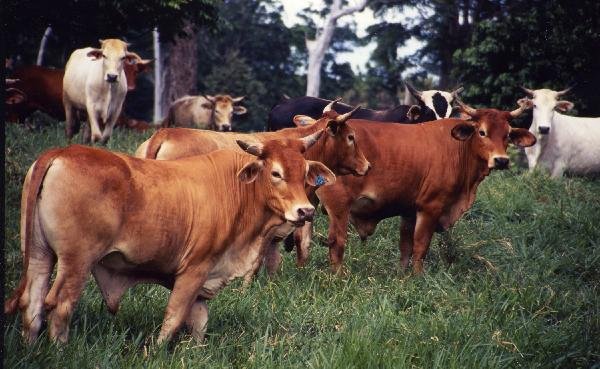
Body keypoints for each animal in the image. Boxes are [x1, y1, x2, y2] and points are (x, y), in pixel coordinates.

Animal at [4, 134, 336, 344]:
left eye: (305, 171)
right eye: (276, 173)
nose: (305, 211)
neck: (237, 192)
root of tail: (61, 152)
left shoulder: (206, 279)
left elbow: (199, 321)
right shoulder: (194, 269)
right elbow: (175, 317)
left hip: (40, 254)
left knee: (32, 305)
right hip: (77, 262)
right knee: (60, 307)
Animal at [310, 98, 536, 274]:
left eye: (507, 134)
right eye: (482, 132)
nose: (501, 160)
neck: (459, 148)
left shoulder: (409, 210)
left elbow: (406, 246)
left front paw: (401, 275)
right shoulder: (430, 208)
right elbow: (420, 247)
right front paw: (417, 277)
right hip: (339, 207)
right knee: (336, 242)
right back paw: (338, 277)